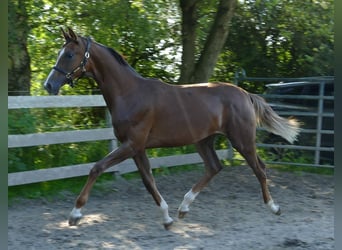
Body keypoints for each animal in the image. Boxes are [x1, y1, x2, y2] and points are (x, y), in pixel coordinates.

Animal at [43, 27, 300, 229]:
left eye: (69, 54)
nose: (49, 85)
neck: (129, 93)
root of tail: (245, 94)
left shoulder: (132, 144)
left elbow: (97, 168)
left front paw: (75, 214)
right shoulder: (137, 148)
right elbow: (148, 181)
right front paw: (167, 219)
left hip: (242, 139)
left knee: (260, 169)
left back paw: (274, 207)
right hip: (203, 140)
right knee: (214, 167)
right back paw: (183, 208)